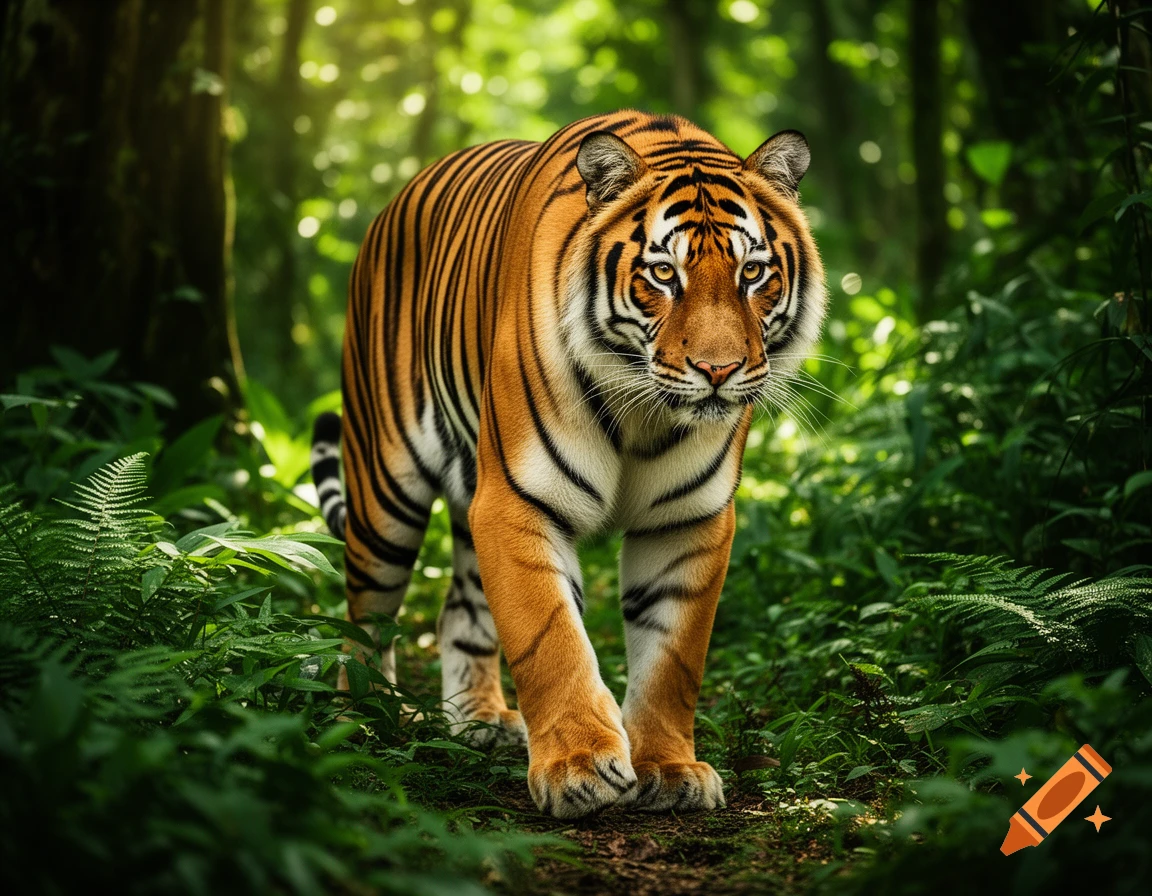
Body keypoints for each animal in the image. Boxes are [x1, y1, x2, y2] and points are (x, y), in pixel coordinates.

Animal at [310, 110, 826, 819]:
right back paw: (363, 720)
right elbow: (551, 640)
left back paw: (480, 721)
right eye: (663, 275)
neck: (644, 414)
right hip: (386, 493)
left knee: (458, 610)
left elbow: (673, 659)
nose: (718, 371)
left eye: (753, 273)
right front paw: (578, 769)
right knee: (364, 617)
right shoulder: (518, 502)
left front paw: (671, 769)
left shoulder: (687, 521)